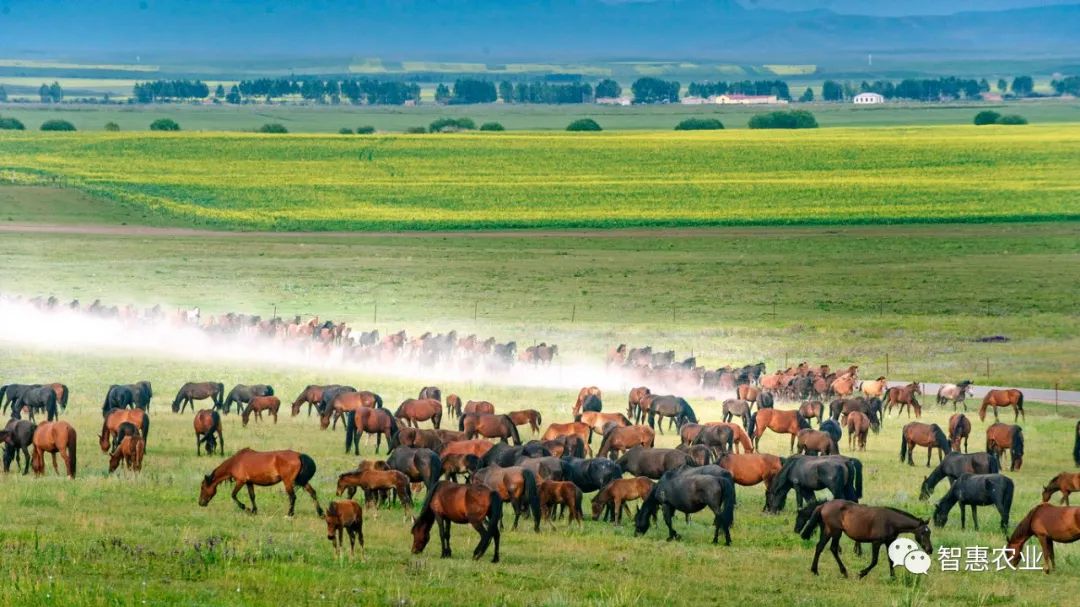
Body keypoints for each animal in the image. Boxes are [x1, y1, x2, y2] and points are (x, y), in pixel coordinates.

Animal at [799, 498, 933, 578]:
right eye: (923, 533)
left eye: (929, 533)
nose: (929, 550)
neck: (890, 521)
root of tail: (823, 505)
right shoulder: (876, 542)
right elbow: (874, 561)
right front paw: (862, 573)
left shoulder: (889, 542)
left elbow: (891, 560)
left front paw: (893, 577)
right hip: (835, 532)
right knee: (833, 548)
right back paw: (843, 572)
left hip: (828, 531)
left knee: (820, 547)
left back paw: (815, 571)